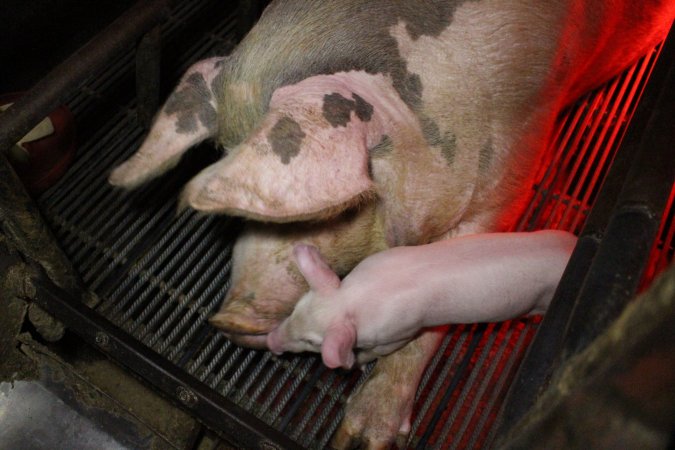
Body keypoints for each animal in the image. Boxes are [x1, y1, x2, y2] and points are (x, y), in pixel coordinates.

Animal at [266, 232, 580, 370]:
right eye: (296, 308)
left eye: (312, 342)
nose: (271, 341)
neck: (354, 297)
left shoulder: (401, 330)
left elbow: (387, 349)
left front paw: (362, 361)